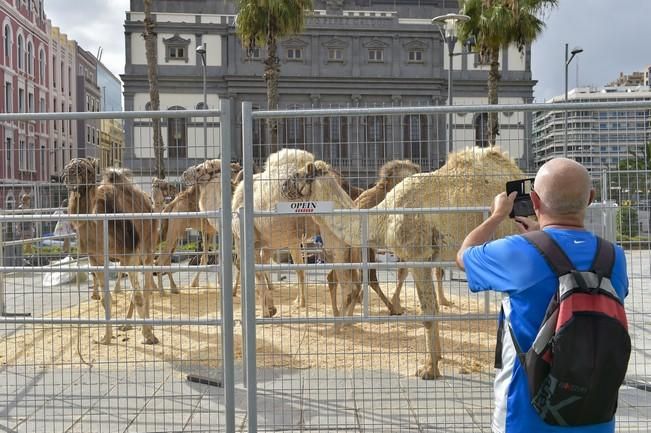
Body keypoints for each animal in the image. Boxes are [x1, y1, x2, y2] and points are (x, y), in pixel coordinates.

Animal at [64, 158, 160, 344]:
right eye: (68, 167)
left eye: (86, 170)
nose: (70, 176)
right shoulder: (95, 258)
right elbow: (106, 298)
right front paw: (105, 338)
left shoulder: (128, 251)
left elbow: (137, 295)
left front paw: (148, 335)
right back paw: (126, 325)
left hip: (147, 246)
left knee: (145, 287)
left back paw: (146, 325)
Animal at [282, 146, 524, 378]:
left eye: (298, 174)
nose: (283, 185)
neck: (381, 219)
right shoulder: (424, 259)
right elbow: (432, 306)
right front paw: (436, 359)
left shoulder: (417, 256)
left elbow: (428, 311)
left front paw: (429, 369)